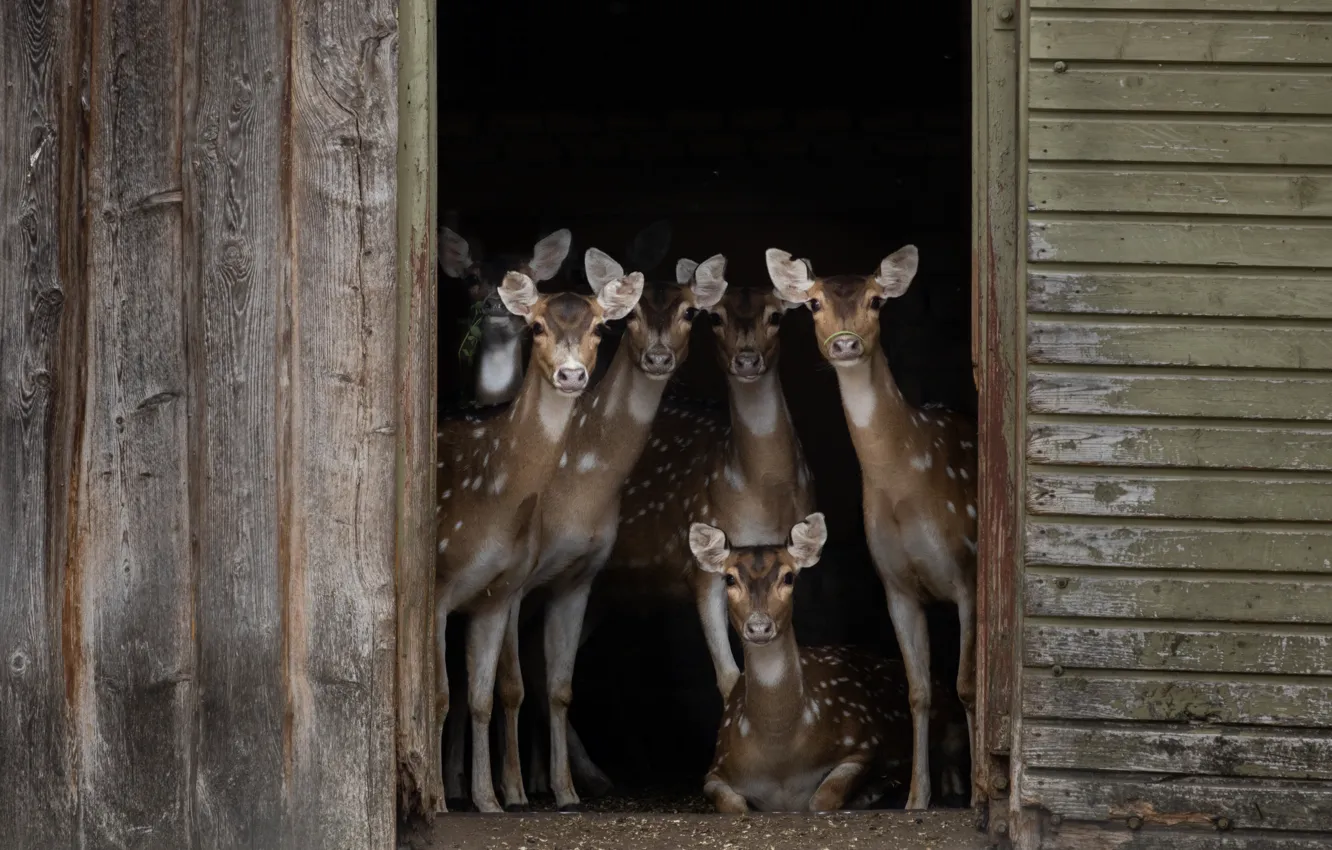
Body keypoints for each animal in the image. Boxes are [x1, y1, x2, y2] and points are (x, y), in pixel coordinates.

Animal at [435, 259, 644, 813]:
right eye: (536, 327)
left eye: (599, 328)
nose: (572, 375)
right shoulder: (436, 585)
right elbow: (440, 692)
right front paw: (439, 800)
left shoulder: (497, 592)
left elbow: (483, 696)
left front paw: (491, 799)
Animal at [493, 248, 730, 810]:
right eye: (632, 316)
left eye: (691, 312)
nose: (659, 358)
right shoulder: (515, 577)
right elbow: (510, 682)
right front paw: (513, 790)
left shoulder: (578, 575)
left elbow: (554, 681)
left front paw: (559, 789)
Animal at [764, 245, 978, 810]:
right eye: (814, 303)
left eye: (877, 300)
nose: (845, 342)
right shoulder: (895, 583)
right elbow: (918, 691)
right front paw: (916, 799)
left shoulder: (968, 570)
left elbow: (968, 684)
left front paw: (978, 795)